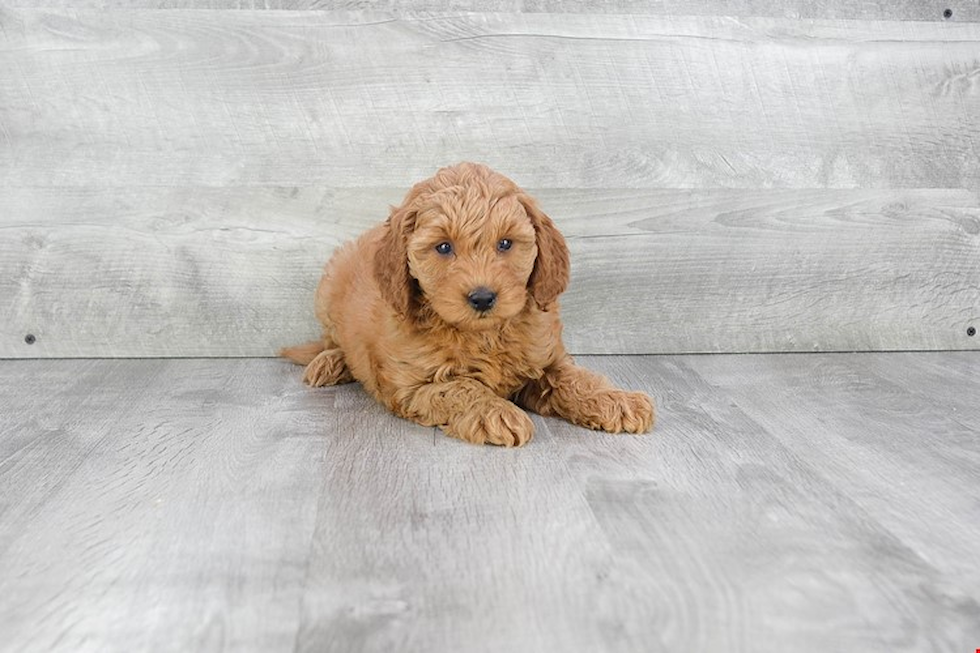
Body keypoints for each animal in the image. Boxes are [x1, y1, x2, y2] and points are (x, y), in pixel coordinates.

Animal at [280, 163, 656, 448]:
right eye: (444, 247)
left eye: (505, 243)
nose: (483, 297)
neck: (484, 334)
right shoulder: (413, 387)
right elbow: (462, 387)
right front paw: (496, 412)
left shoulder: (548, 361)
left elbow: (578, 379)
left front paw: (617, 400)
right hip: (328, 288)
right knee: (332, 341)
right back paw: (329, 363)